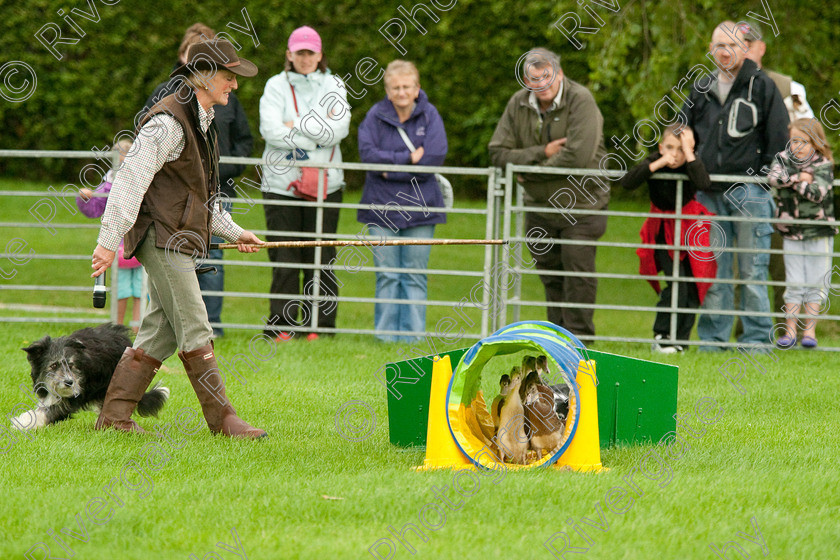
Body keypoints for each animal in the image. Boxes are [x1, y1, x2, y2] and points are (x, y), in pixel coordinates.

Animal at [15, 322, 169, 430]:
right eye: (53, 365)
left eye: (71, 365)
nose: (69, 382)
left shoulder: (75, 394)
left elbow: (52, 410)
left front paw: (22, 422)